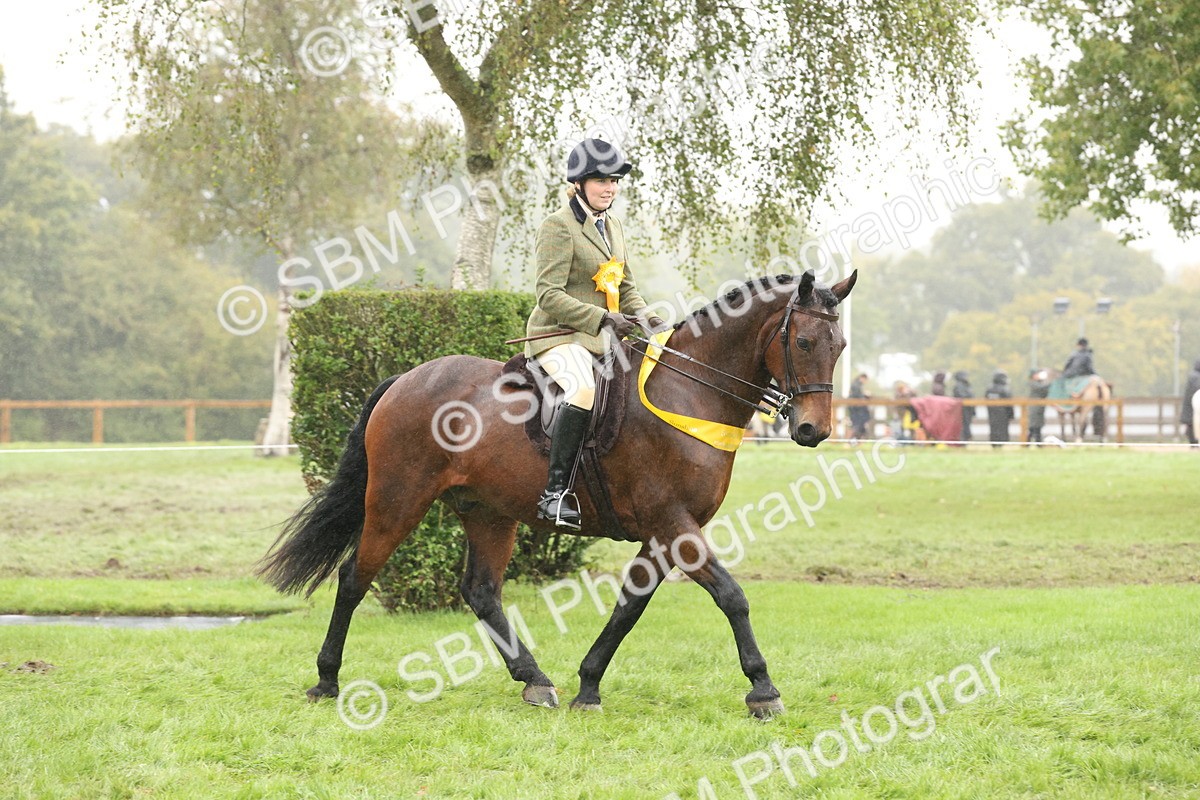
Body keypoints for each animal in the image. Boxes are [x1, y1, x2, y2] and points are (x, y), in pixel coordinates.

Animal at [257, 269, 856, 718]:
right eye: (804, 342)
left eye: (841, 345)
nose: (812, 430)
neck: (688, 393)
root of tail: (404, 380)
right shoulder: (674, 526)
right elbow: (732, 596)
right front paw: (763, 689)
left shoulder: (664, 534)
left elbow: (628, 607)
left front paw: (587, 686)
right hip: (396, 500)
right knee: (354, 578)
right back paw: (326, 680)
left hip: (488, 513)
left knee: (481, 592)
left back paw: (534, 680)